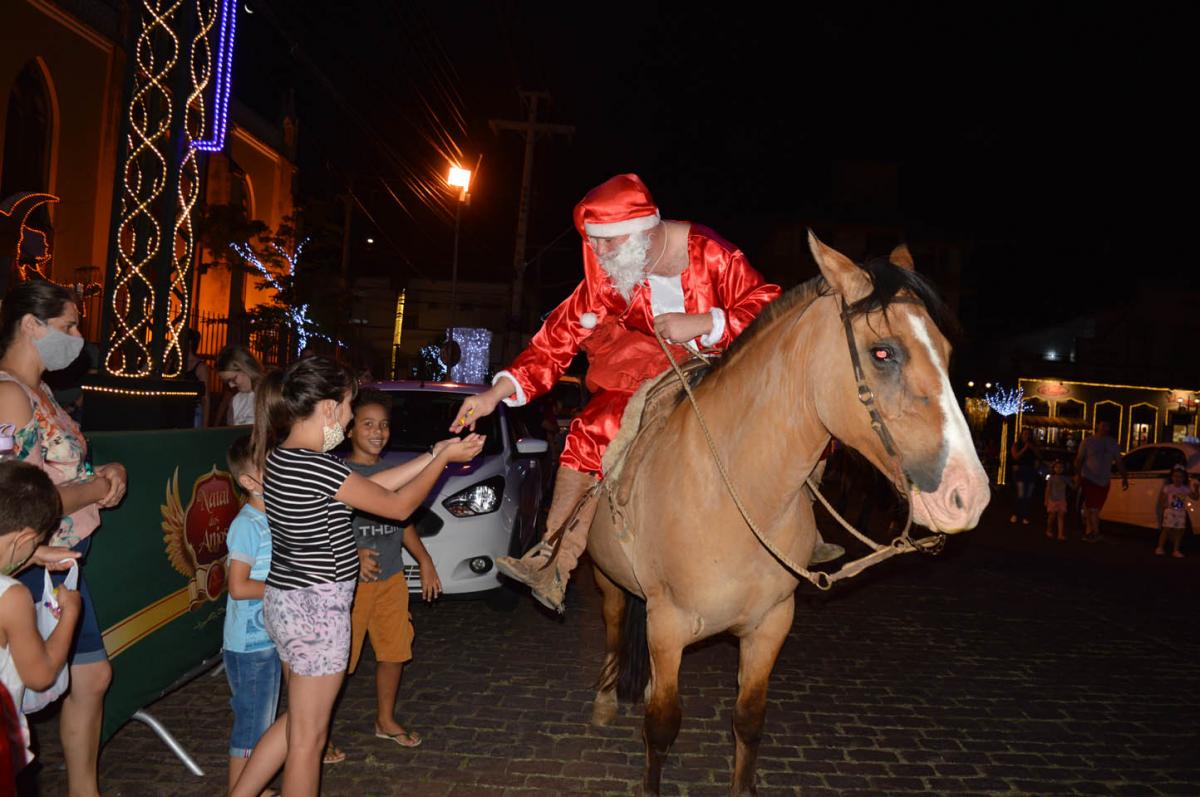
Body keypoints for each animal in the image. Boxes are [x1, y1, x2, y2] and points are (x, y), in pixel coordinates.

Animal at [585, 234, 988, 797]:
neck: (737, 498)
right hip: (608, 579)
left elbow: (749, 719)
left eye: (947, 355)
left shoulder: (772, 623)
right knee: (613, 623)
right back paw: (604, 698)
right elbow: (662, 724)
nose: (968, 494)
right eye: (883, 352)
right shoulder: (668, 624)